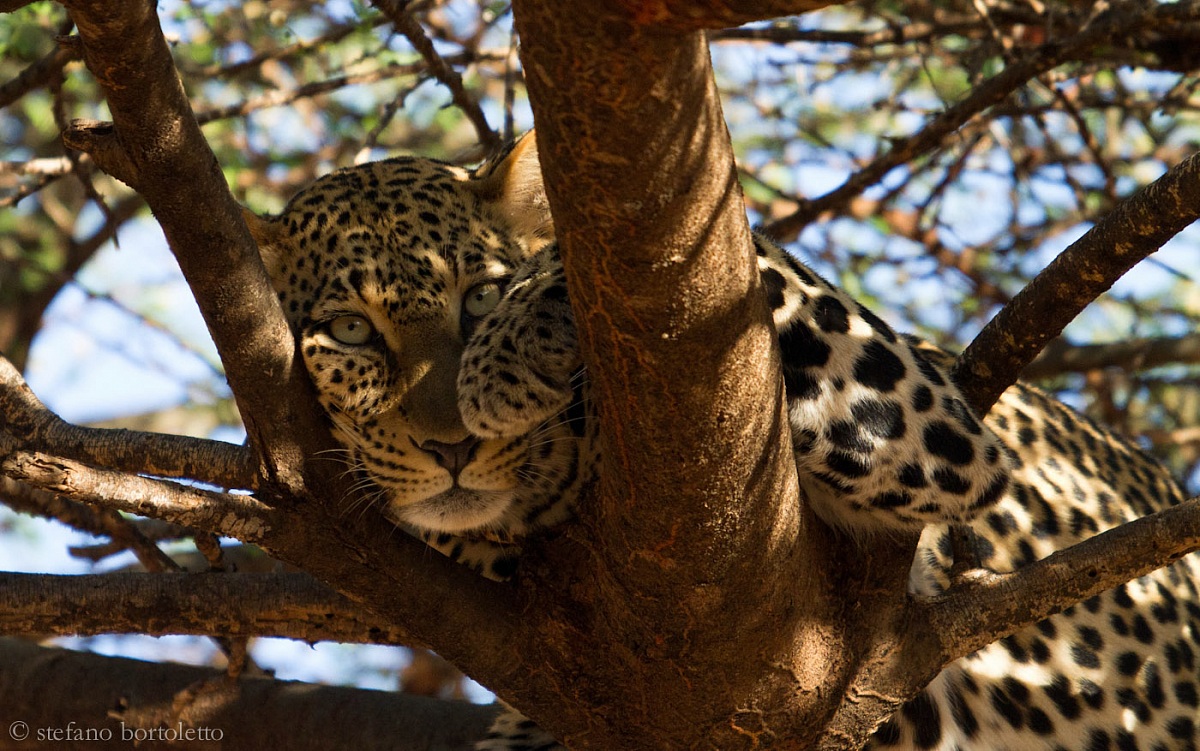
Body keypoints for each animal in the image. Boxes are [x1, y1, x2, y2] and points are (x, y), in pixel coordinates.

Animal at [246, 133, 1200, 751]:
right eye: (349, 331)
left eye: (477, 298)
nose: (451, 446)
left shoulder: (925, 424)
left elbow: (724, 254)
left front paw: (508, 357)